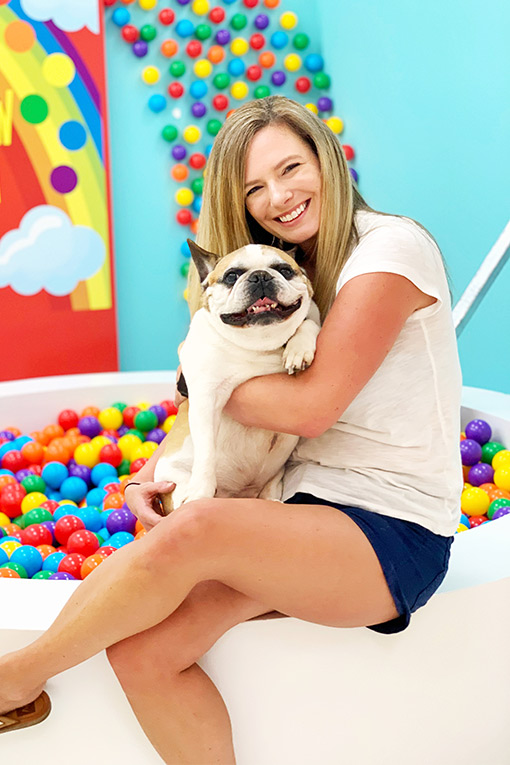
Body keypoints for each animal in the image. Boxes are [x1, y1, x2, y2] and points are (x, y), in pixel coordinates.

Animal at [153, 240, 320, 512]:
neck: (260, 345)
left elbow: (308, 322)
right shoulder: (205, 399)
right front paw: (199, 493)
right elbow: (206, 453)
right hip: (172, 481)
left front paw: (298, 348)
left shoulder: (312, 316)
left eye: (284, 270)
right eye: (231, 276)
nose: (260, 276)